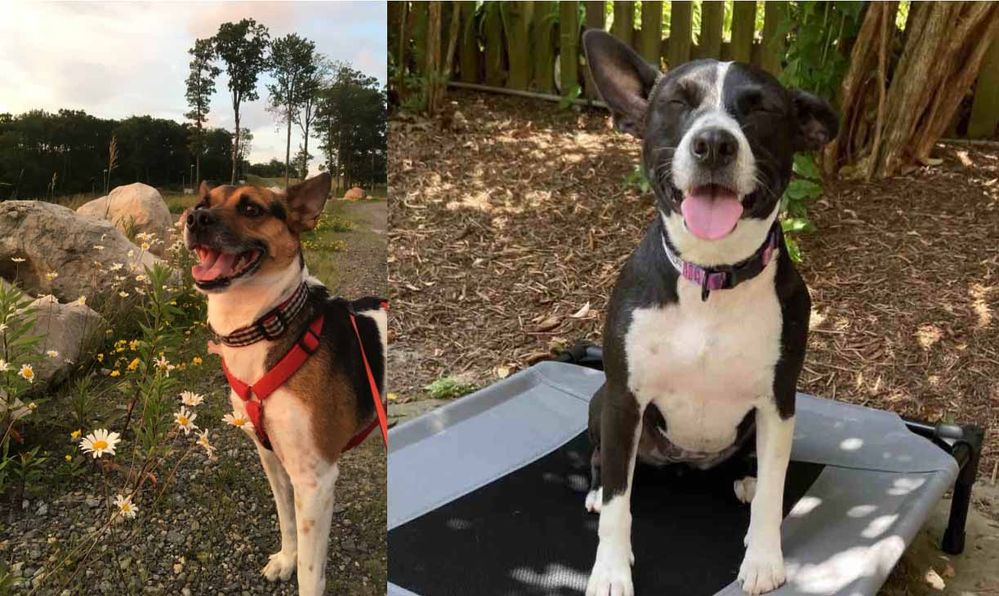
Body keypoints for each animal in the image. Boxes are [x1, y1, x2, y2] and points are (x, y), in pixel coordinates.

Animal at [184, 173, 386, 596]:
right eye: (204, 202)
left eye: (251, 208)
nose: (194, 218)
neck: (267, 323)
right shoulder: (273, 459)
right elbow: (286, 520)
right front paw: (286, 560)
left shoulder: (315, 481)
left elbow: (311, 575)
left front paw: (300, 567)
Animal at [584, 30, 840, 592]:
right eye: (677, 102)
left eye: (761, 108)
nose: (715, 143)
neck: (711, 276)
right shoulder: (623, 398)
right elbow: (618, 503)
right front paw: (610, 569)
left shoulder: (778, 402)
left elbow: (774, 491)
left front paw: (763, 558)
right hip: (601, 403)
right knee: (604, 464)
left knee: (756, 470)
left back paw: (744, 479)